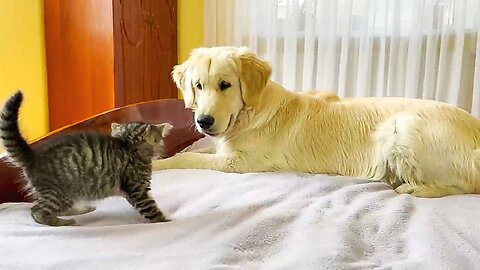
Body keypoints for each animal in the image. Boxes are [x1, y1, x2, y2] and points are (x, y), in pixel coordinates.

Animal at [0, 92, 172, 227]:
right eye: (159, 141)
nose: (161, 151)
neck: (128, 146)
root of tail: (33, 155)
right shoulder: (138, 190)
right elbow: (152, 211)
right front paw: (166, 221)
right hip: (61, 194)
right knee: (37, 211)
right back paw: (63, 222)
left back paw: (81, 210)